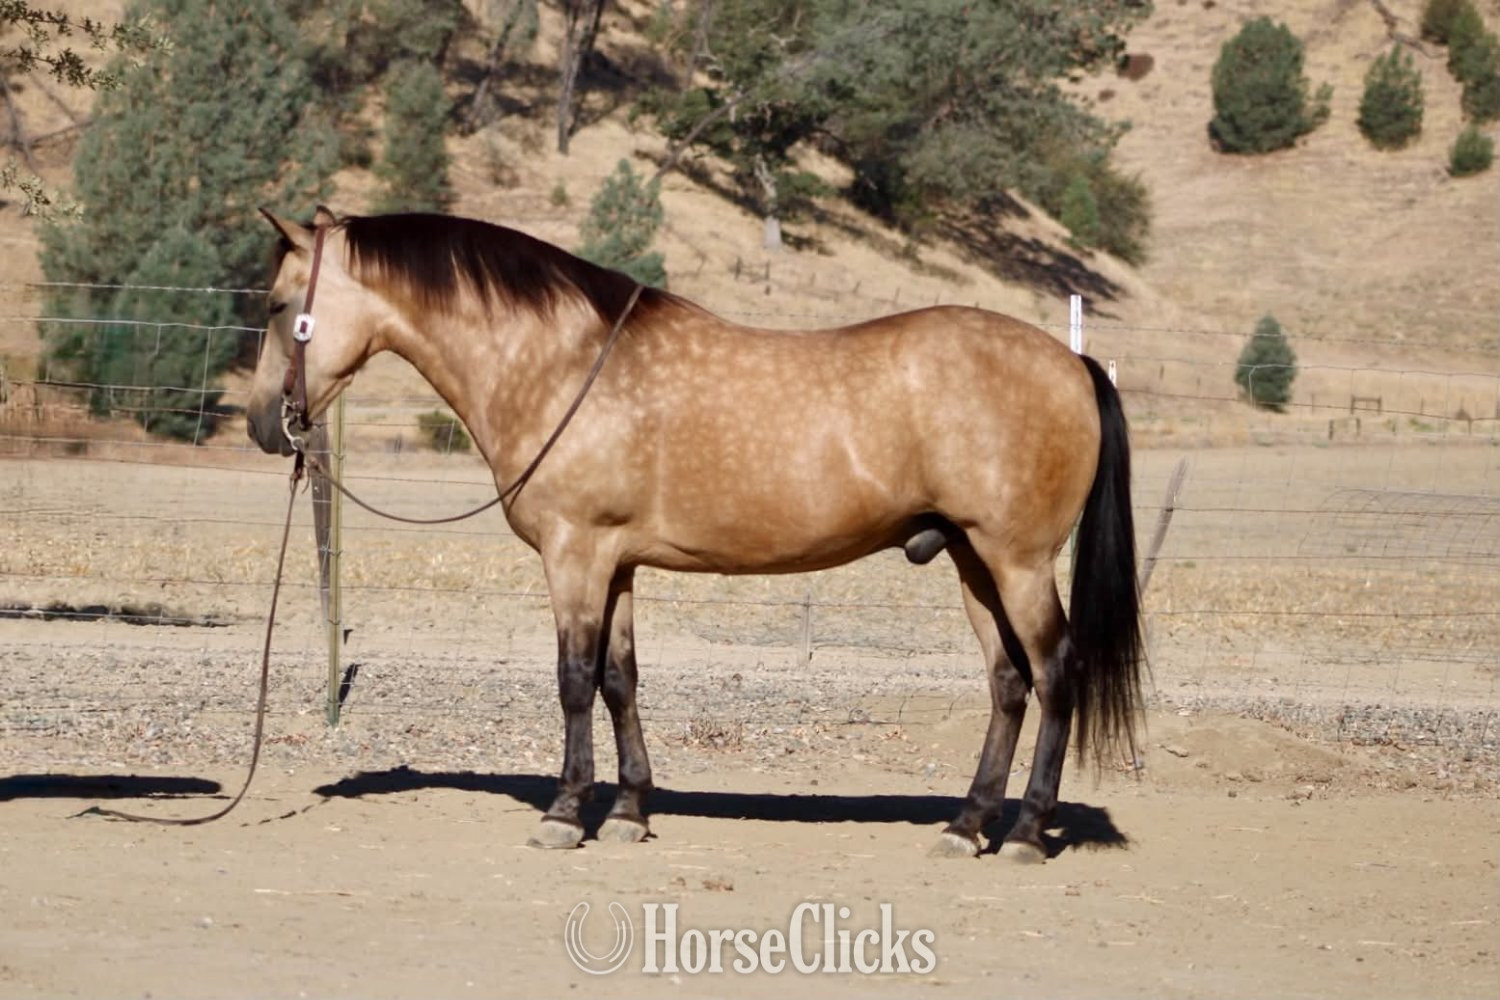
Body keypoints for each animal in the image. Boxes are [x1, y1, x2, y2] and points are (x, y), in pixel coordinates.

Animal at [246, 207, 1143, 862]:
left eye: (278, 307)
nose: (263, 424)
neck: (563, 364)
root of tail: (1071, 365)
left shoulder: (575, 555)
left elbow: (574, 681)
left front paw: (565, 812)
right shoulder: (615, 563)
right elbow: (620, 680)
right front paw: (629, 811)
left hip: (1017, 562)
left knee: (1054, 673)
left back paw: (1024, 832)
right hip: (971, 559)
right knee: (1008, 683)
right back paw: (966, 826)